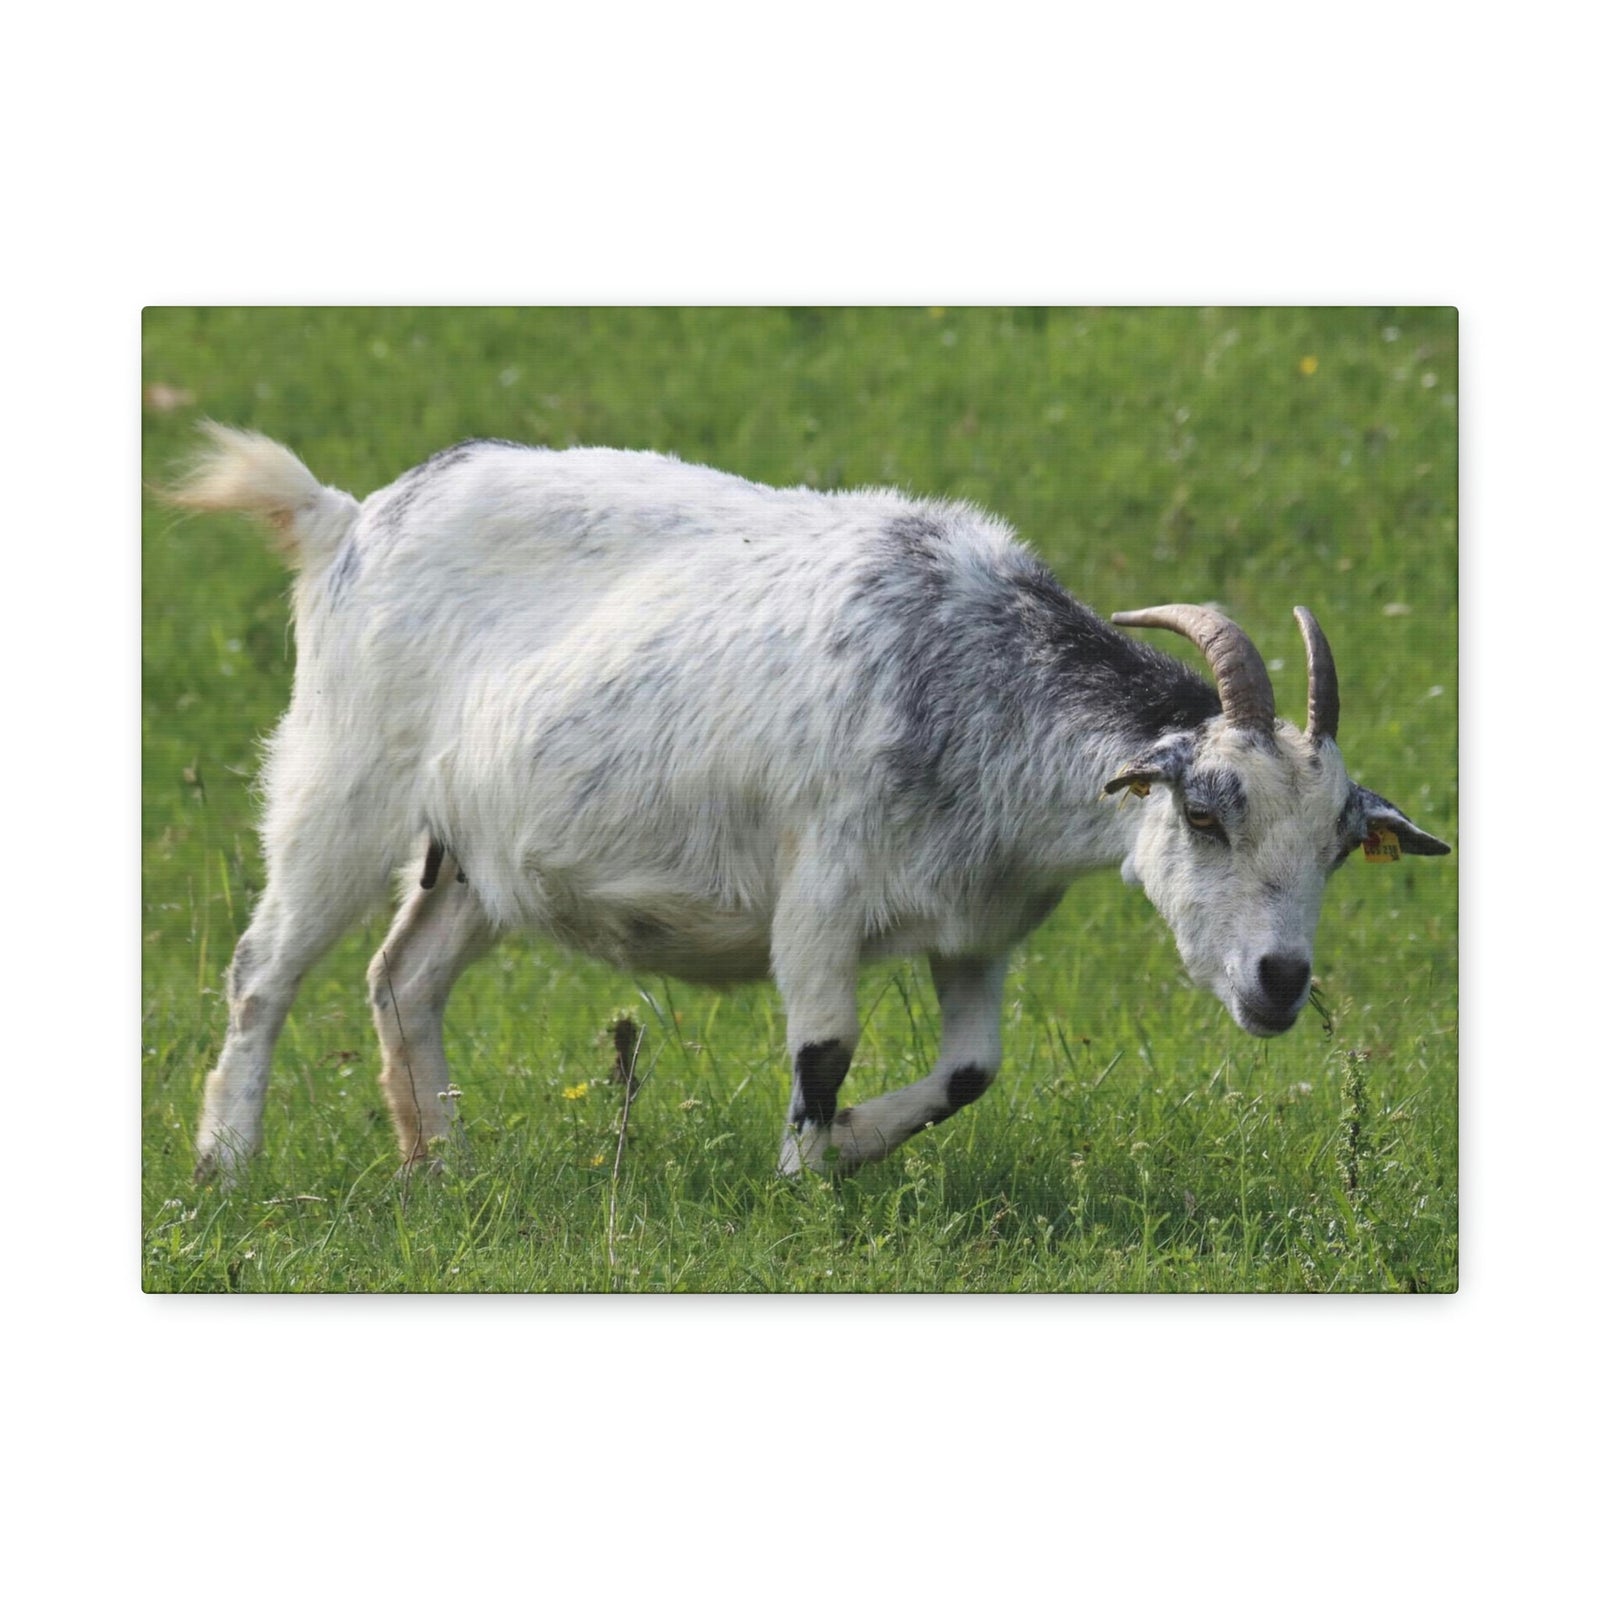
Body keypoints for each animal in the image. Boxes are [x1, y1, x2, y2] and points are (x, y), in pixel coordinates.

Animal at [169, 424, 1450, 1180]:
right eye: (1204, 812)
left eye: (1340, 847)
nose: (1279, 982)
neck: (969, 677)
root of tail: (343, 517)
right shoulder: (821, 898)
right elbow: (823, 1050)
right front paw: (804, 1183)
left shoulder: (977, 928)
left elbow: (971, 1071)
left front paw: (850, 1146)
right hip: (341, 782)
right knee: (263, 970)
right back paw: (225, 1164)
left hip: (476, 854)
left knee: (404, 976)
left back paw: (442, 1164)